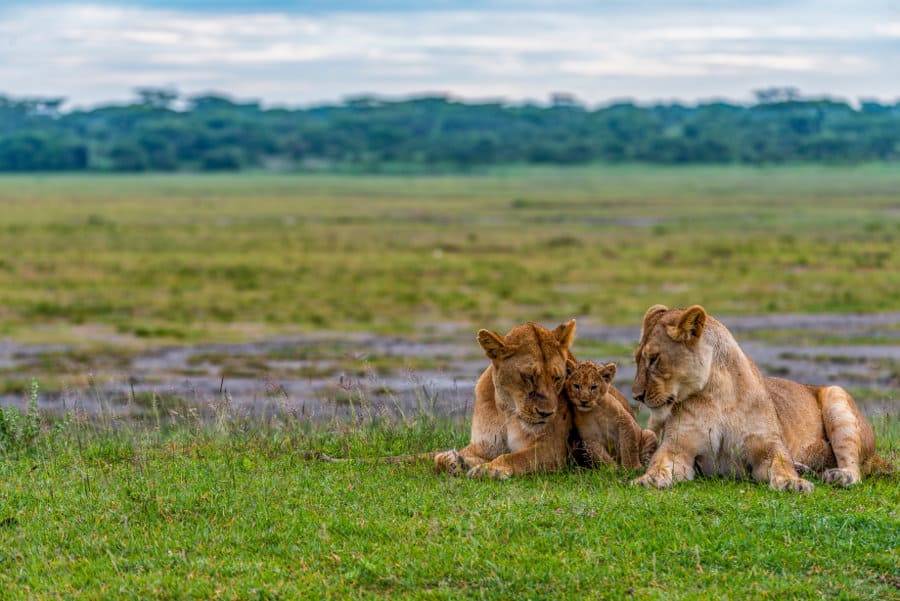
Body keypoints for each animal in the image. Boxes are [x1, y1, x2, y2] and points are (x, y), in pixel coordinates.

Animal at [434, 318, 576, 478]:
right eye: (529, 376)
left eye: (557, 378)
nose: (546, 413)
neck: (507, 410)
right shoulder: (483, 446)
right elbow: (438, 458)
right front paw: (455, 461)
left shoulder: (553, 449)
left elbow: (514, 457)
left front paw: (488, 470)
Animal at [632, 304, 880, 492]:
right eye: (637, 359)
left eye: (654, 359)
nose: (636, 396)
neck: (718, 395)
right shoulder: (678, 447)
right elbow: (659, 463)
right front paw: (649, 479)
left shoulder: (767, 447)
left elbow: (781, 464)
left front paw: (793, 483)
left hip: (837, 397)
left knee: (854, 466)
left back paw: (840, 476)